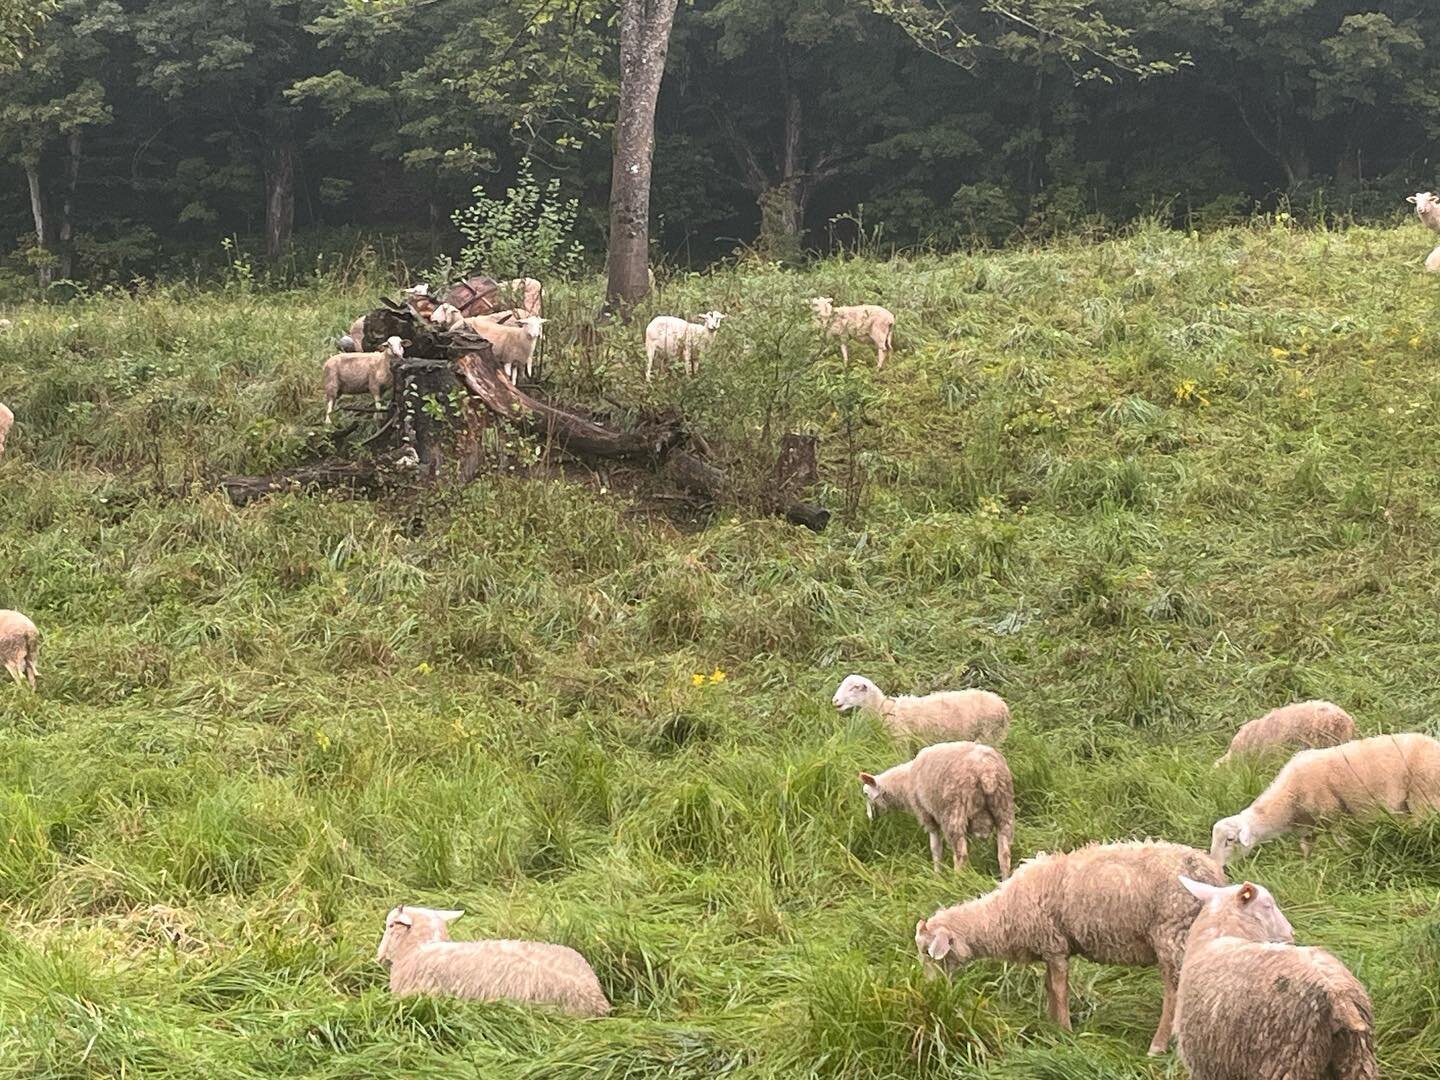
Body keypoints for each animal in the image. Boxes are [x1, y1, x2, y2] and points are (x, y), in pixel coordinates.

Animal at [833, 674, 1009, 745]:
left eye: (854, 688)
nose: (835, 701)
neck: (884, 708)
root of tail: (1002, 705)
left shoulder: (901, 740)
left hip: (988, 735)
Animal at [860, 741, 1015, 878]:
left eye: (866, 794)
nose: (869, 818)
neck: (905, 784)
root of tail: (987, 773)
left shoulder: (927, 815)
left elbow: (935, 848)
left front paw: (937, 875)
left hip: (954, 812)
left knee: (961, 856)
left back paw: (957, 881)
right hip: (1003, 807)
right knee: (1004, 853)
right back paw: (1004, 878)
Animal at [915, 841, 1226, 1056]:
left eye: (930, 954)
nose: (931, 992)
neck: (1002, 915)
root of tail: (1211, 873)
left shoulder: (1054, 944)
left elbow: (1059, 989)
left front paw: (1064, 1032)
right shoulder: (1050, 948)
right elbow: (1050, 987)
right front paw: (1051, 1026)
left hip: (1171, 934)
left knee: (1174, 994)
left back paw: (1158, 1045)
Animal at [1176, 876, 1375, 1080]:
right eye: (1267, 905)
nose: (1291, 932)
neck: (1221, 934)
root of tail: (1338, 995)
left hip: (1289, 1058)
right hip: (1357, 1056)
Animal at [1209, 732, 1440, 866]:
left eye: (1230, 840)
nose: (1214, 865)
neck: (1288, 800)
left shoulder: (1333, 815)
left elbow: (1343, 844)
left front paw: (1348, 861)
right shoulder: (1308, 827)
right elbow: (1306, 850)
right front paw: (1307, 870)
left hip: (1425, 798)